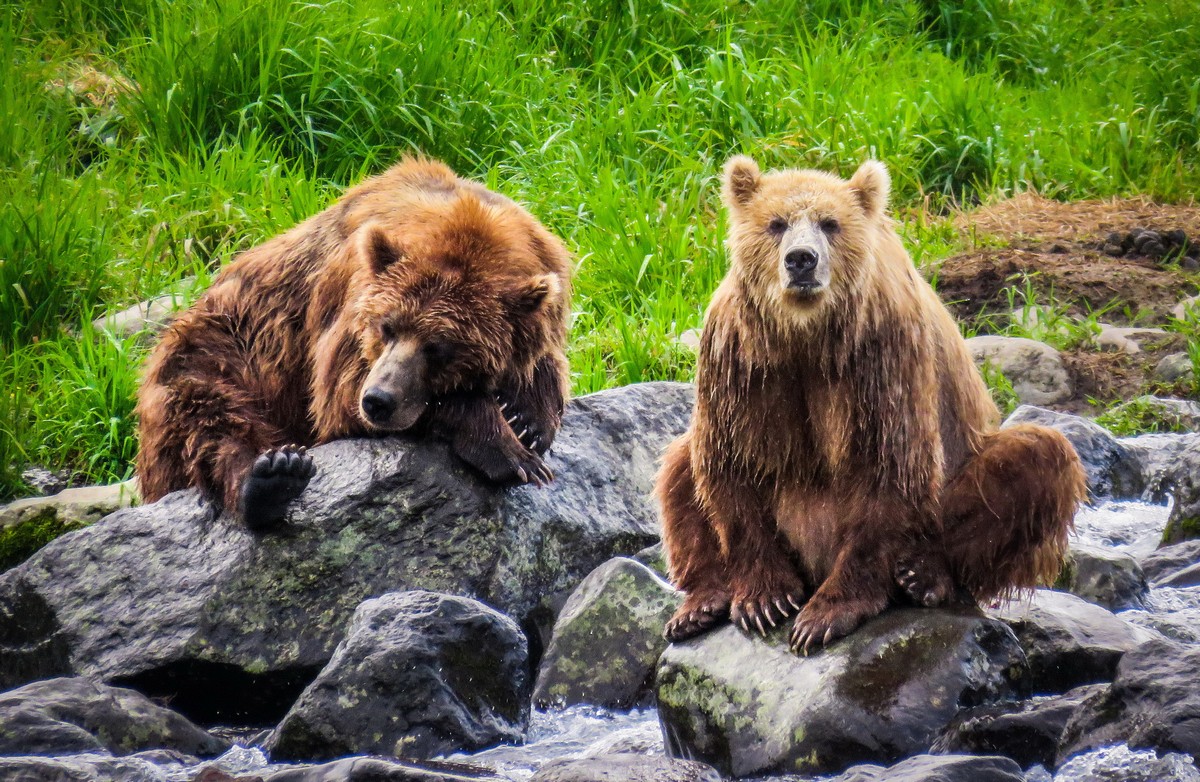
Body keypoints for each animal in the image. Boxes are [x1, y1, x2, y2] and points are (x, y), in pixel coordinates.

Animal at [137, 154, 571, 527]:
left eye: (439, 348)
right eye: (386, 327)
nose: (379, 400)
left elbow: (543, 365)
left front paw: (528, 418)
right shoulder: (347, 309)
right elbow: (340, 395)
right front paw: (511, 451)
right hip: (217, 349)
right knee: (204, 411)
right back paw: (270, 479)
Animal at [657, 154, 1089, 652]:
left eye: (830, 224)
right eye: (776, 223)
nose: (801, 260)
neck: (808, 333)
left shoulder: (884, 354)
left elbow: (891, 468)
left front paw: (826, 614)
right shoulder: (741, 357)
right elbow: (730, 462)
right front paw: (764, 599)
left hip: (954, 482)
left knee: (1036, 460)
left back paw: (924, 576)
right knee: (680, 464)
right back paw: (700, 604)